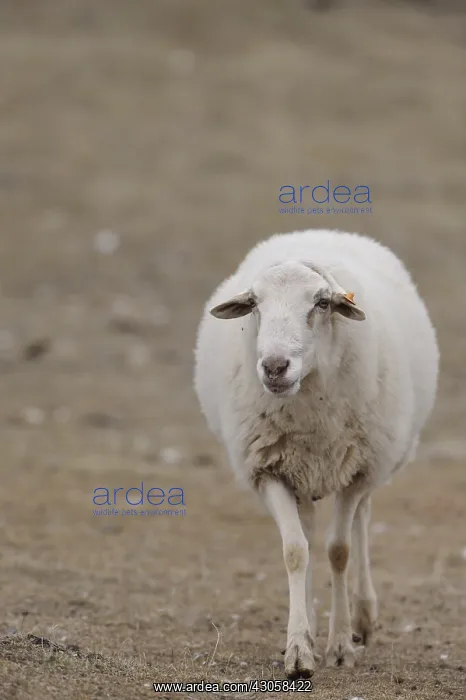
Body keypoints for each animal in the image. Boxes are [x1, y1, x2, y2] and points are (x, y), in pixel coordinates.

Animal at [194, 228, 439, 678]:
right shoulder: (268, 471)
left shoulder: (358, 472)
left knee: (361, 523)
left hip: (372, 462)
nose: (275, 367)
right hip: (299, 472)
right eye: (254, 303)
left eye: (321, 303)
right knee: (306, 534)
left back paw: (363, 618)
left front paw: (340, 645)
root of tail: (321, 232)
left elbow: (339, 551)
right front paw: (299, 649)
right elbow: (295, 552)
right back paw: (307, 622)